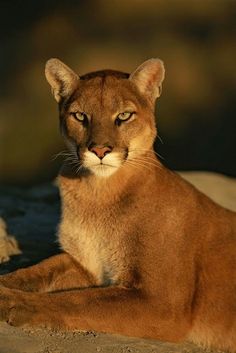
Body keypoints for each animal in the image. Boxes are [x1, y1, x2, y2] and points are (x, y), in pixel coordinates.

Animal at [0, 57, 236, 350]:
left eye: (124, 116)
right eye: (80, 116)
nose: (100, 150)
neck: (98, 194)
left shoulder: (162, 302)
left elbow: (78, 301)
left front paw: (16, 304)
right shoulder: (86, 262)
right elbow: (37, 271)